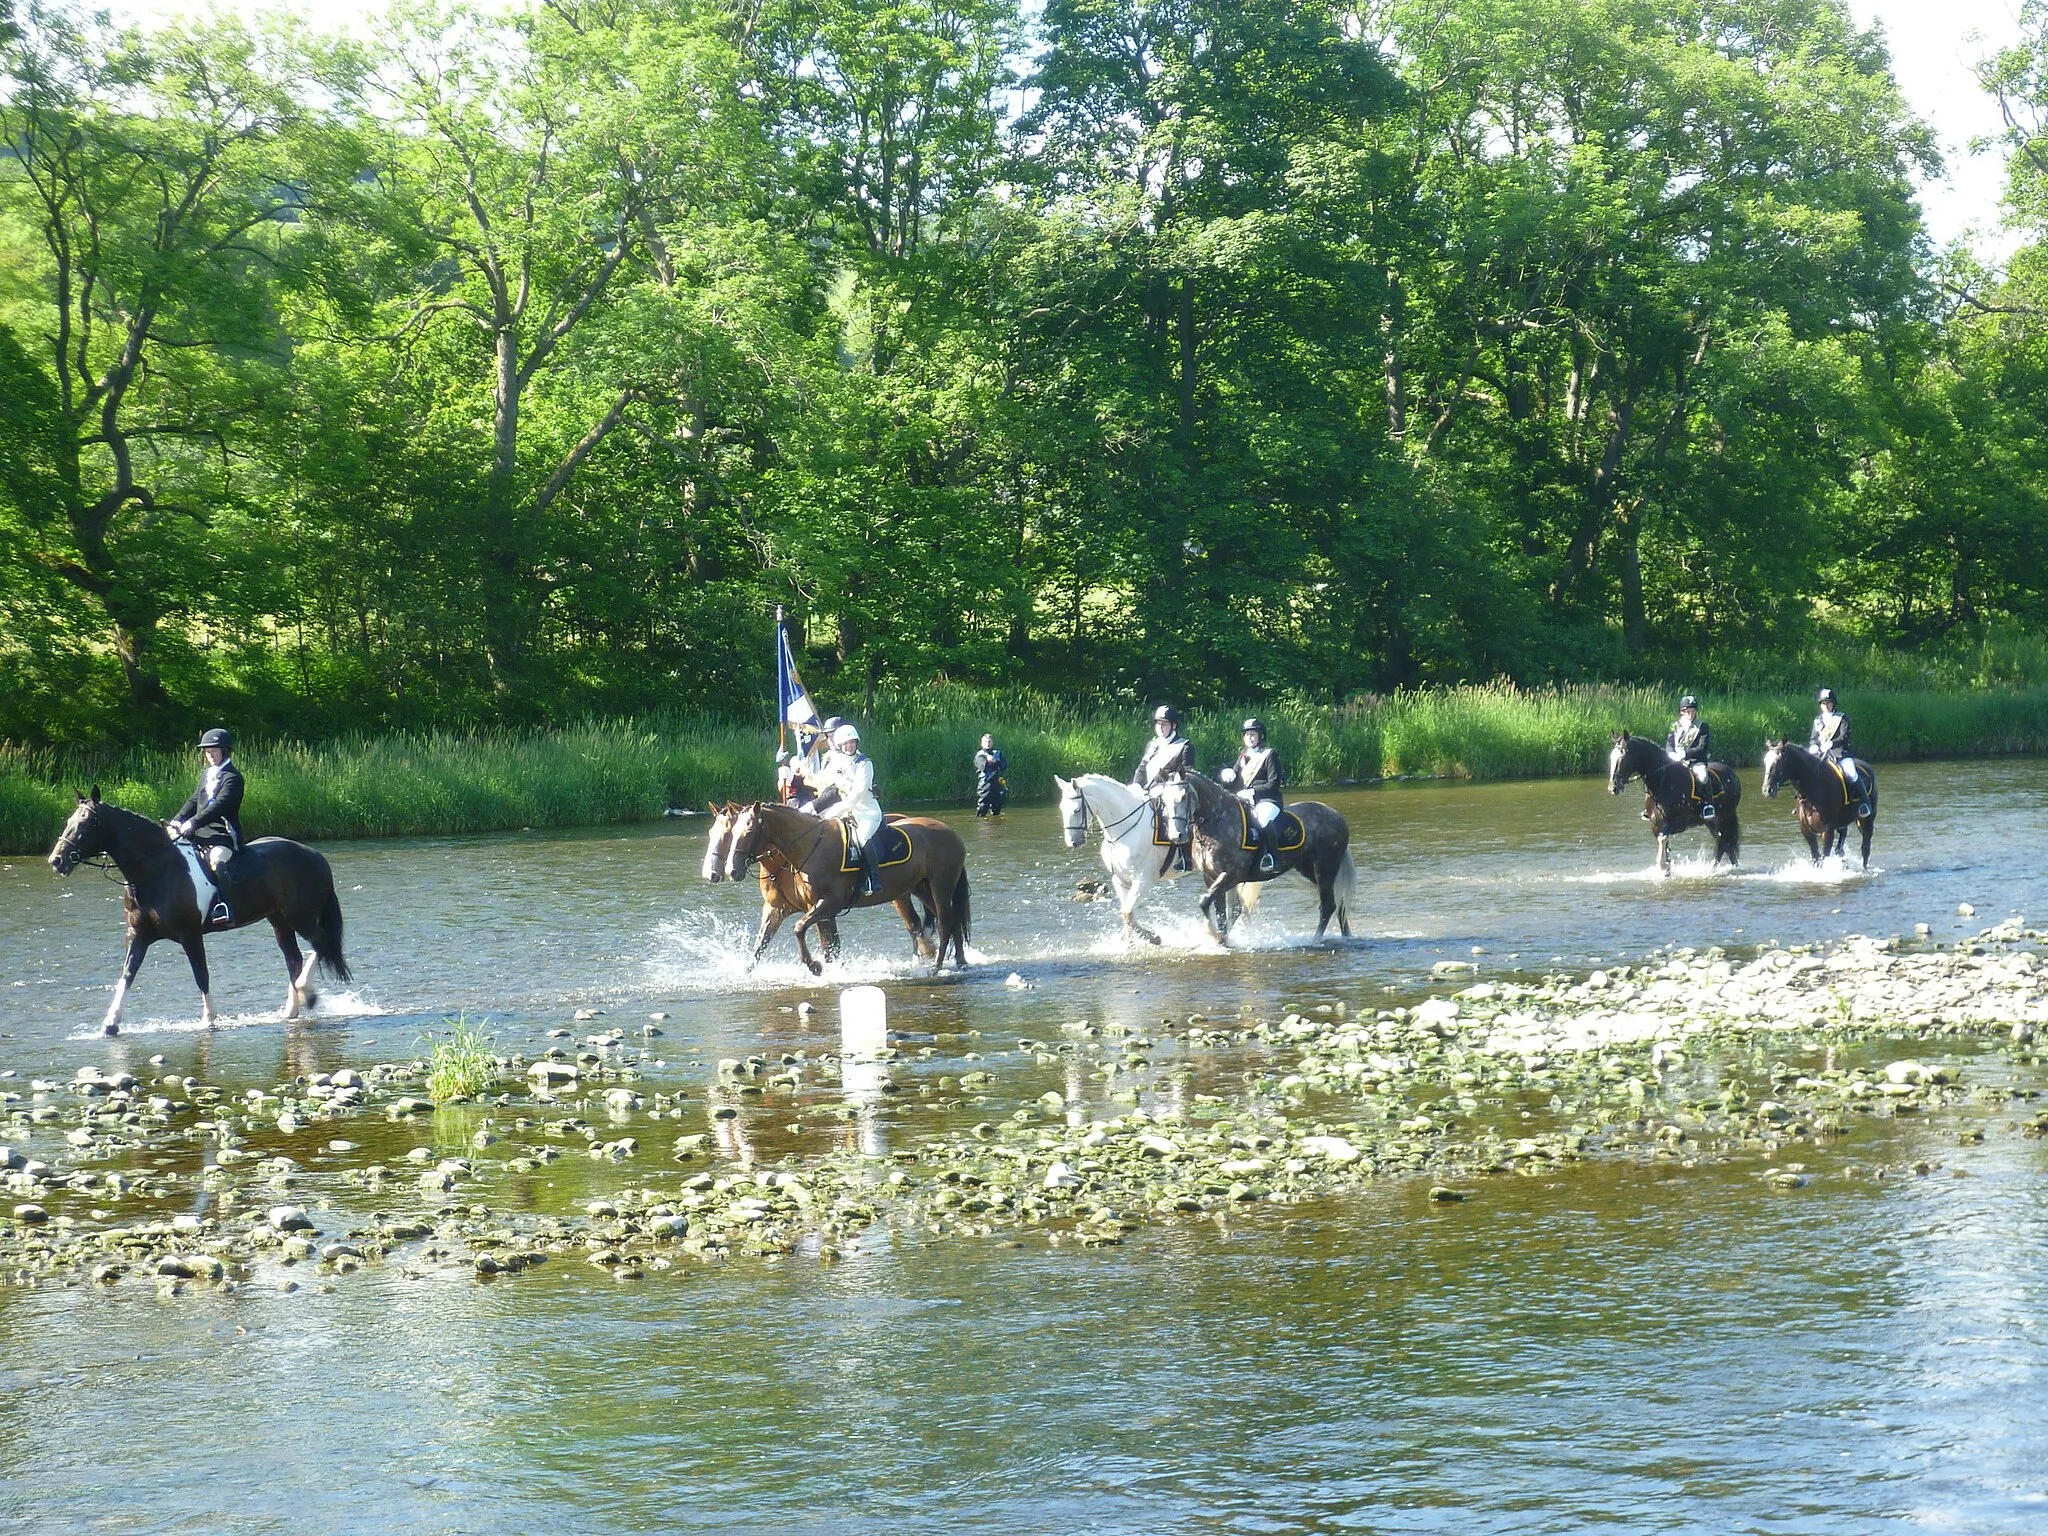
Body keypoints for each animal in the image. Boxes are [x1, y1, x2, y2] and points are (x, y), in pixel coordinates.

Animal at [46, 794, 350, 1036]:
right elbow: (127, 975)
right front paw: (110, 1024)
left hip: (301, 917)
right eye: (70, 820)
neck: (156, 871)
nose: (56, 861)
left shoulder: (190, 935)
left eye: (86, 824)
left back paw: (307, 994)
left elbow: (201, 975)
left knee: (321, 944)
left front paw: (208, 1019)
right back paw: (291, 1009)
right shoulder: (138, 936)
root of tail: (315, 855)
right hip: (279, 920)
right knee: (294, 958)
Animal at [712, 806, 966, 974]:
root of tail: (949, 831)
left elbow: (801, 929)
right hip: (921, 888)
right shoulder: (798, 908)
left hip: (940, 886)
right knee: (950, 920)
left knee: (945, 921)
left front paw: (815, 966)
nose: (731, 870)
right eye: (731, 833)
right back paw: (960, 961)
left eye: (747, 832)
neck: (810, 846)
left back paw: (937, 966)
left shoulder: (828, 904)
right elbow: (822, 942)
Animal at [1056, 774, 1196, 946]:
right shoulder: (1120, 880)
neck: (1126, 829)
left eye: (1076, 810)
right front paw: (1129, 942)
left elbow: (1127, 913)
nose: (1073, 842)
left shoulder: (1143, 880)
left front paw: (1152, 937)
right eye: (1062, 808)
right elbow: (1127, 914)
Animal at [1597, 737, 1744, 876]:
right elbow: (1664, 845)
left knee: (1724, 843)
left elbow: (1663, 841)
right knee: (1724, 844)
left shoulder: (1672, 823)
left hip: (1724, 818)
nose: (1613, 788)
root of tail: (1732, 774)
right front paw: (1665, 869)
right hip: (1712, 822)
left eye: (1623, 757)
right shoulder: (1656, 825)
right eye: (1612, 757)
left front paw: (1662, 866)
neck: (1662, 781)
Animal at [1769, 741, 1875, 872]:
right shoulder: (1806, 830)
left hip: (1866, 820)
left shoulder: (1828, 830)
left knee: (1865, 847)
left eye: (1779, 762)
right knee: (1842, 839)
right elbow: (1816, 856)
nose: (1767, 789)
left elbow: (1824, 855)